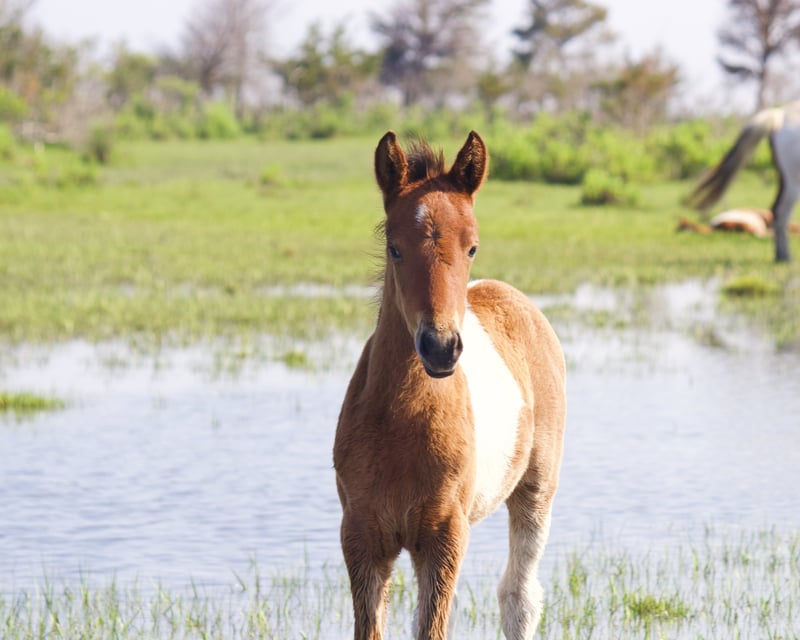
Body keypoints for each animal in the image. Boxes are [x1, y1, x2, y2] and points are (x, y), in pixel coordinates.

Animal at [333, 131, 566, 640]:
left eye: (472, 246)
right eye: (395, 248)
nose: (440, 347)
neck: (402, 424)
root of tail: (505, 292)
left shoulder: (442, 534)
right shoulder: (362, 536)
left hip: (537, 489)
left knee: (519, 596)